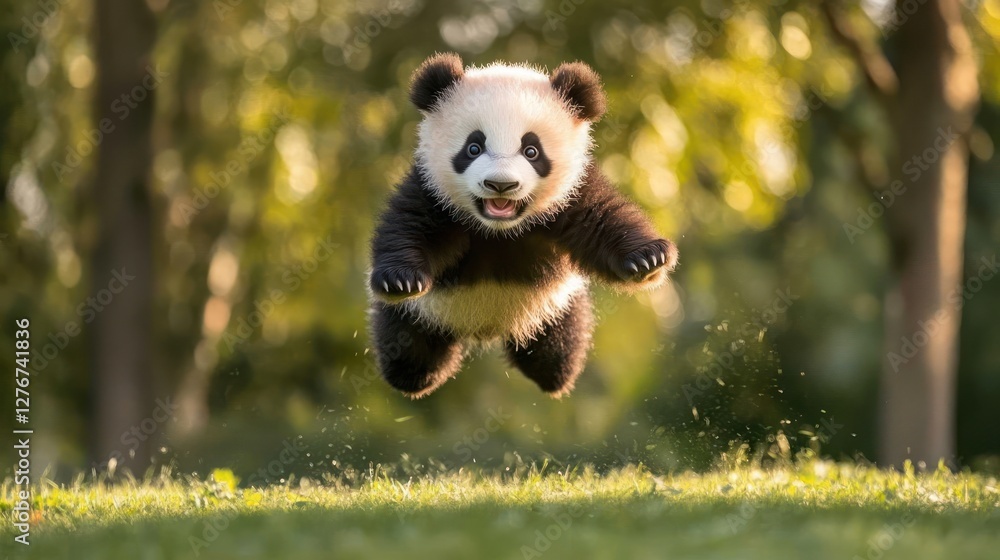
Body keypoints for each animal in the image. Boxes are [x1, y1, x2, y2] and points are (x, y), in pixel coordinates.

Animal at [368, 53, 678, 398]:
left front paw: (648, 259)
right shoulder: (431, 191)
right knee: (409, 348)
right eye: (473, 148)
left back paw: (555, 375)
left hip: (554, 308)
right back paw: (413, 376)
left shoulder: (571, 195)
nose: (500, 185)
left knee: (559, 348)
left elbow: (603, 220)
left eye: (532, 151)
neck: (498, 229)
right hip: (423, 315)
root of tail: (485, 331)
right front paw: (401, 280)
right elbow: (410, 227)